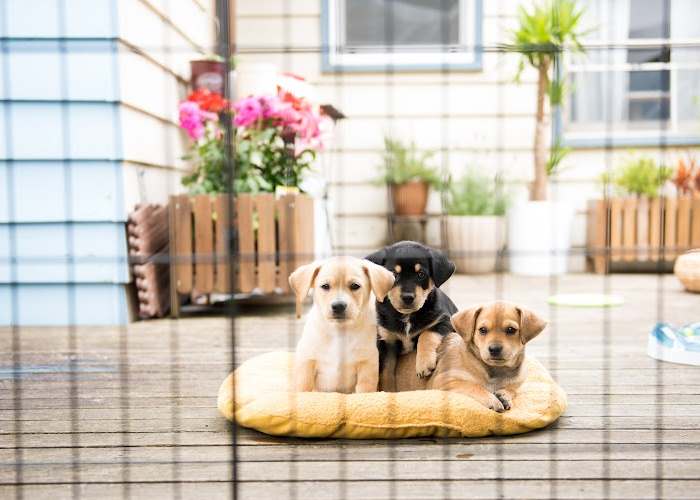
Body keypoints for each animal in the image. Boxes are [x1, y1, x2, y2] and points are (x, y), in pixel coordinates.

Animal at [290, 258, 396, 394]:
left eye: (355, 286)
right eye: (325, 286)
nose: (338, 306)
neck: (339, 332)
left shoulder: (367, 363)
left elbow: (365, 389)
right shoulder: (307, 360)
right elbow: (303, 386)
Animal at [366, 239, 460, 386]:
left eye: (421, 274)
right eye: (394, 274)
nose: (408, 297)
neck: (407, 316)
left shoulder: (444, 321)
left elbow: (426, 334)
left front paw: (424, 364)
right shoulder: (386, 341)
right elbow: (385, 373)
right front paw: (386, 389)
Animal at [382, 302, 548, 412]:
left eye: (511, 330)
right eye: (482, 330)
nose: (494, 349)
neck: (495, 371)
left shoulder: (517, 381)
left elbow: (513, 390)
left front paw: (504, 395)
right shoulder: (443, 380)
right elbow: (473, 386)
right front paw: (492, 399)